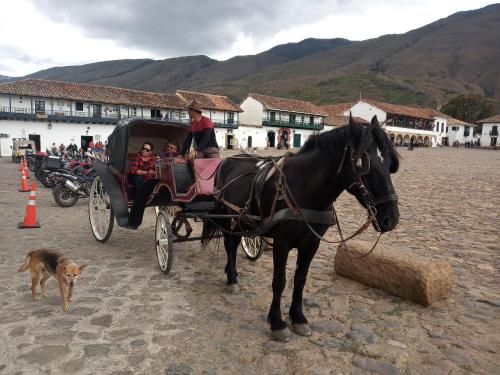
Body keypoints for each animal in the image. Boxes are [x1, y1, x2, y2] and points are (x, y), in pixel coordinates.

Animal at [201, 116, 400, 342]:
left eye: (390, 163)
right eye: (364, 164)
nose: (391, 218)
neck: (305, 188)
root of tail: (226, 161)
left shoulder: (311, 244)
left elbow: (300, 279)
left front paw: (298, 317)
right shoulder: (282, 243)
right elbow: (279, 281)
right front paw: (277, 322)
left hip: (241, 220)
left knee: (234, 244)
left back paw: (231, 272)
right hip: (227, 216)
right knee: (229, 244)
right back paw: (232, 279)